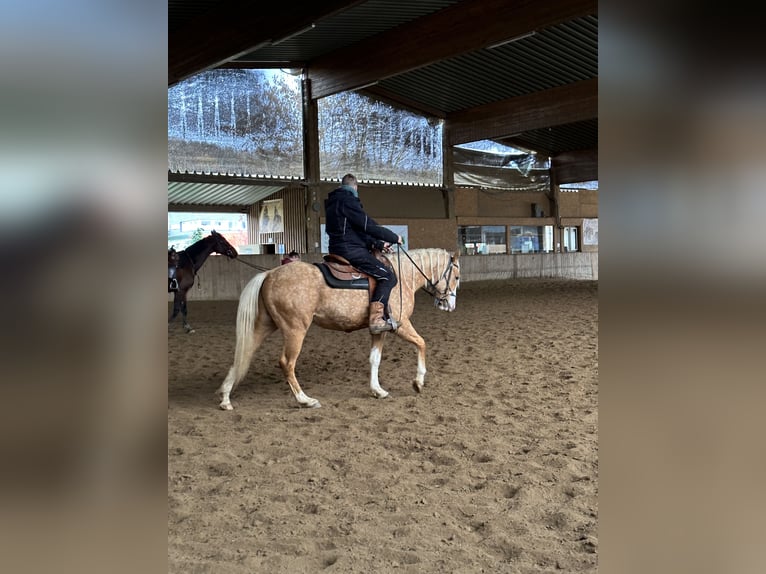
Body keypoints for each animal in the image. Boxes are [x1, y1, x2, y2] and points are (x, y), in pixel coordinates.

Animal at [214, 248, 462, 410]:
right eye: (457, 276)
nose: (449, 305)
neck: (402, 276)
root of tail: (269, 274)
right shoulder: (401, 325)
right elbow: (422, 343)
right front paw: (418, 382)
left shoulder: (378, 329)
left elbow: (375, 359)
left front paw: (377, 390)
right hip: (295, 329)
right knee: (287, 363)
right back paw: (305, 400)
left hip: (264, 325)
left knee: (243, 354)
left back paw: (225, 397)